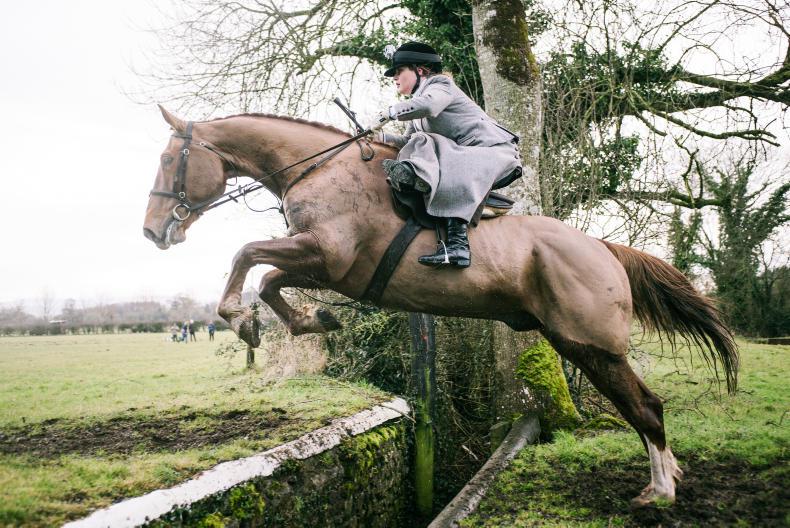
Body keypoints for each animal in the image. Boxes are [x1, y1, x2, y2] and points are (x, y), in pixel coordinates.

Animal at [143, 105, 738, 507]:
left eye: (170, 159)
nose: (152, 233)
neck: (318, 168)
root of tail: (604, 248)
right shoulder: (323, 263)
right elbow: (267, 279)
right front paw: (312, 319)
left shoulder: (327, 255)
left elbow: (248, 257)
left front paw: (243, 322)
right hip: (580, 345)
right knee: (641, 408)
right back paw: (667, 479)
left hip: (590, 345)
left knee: (647, 407)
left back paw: (659, 492)